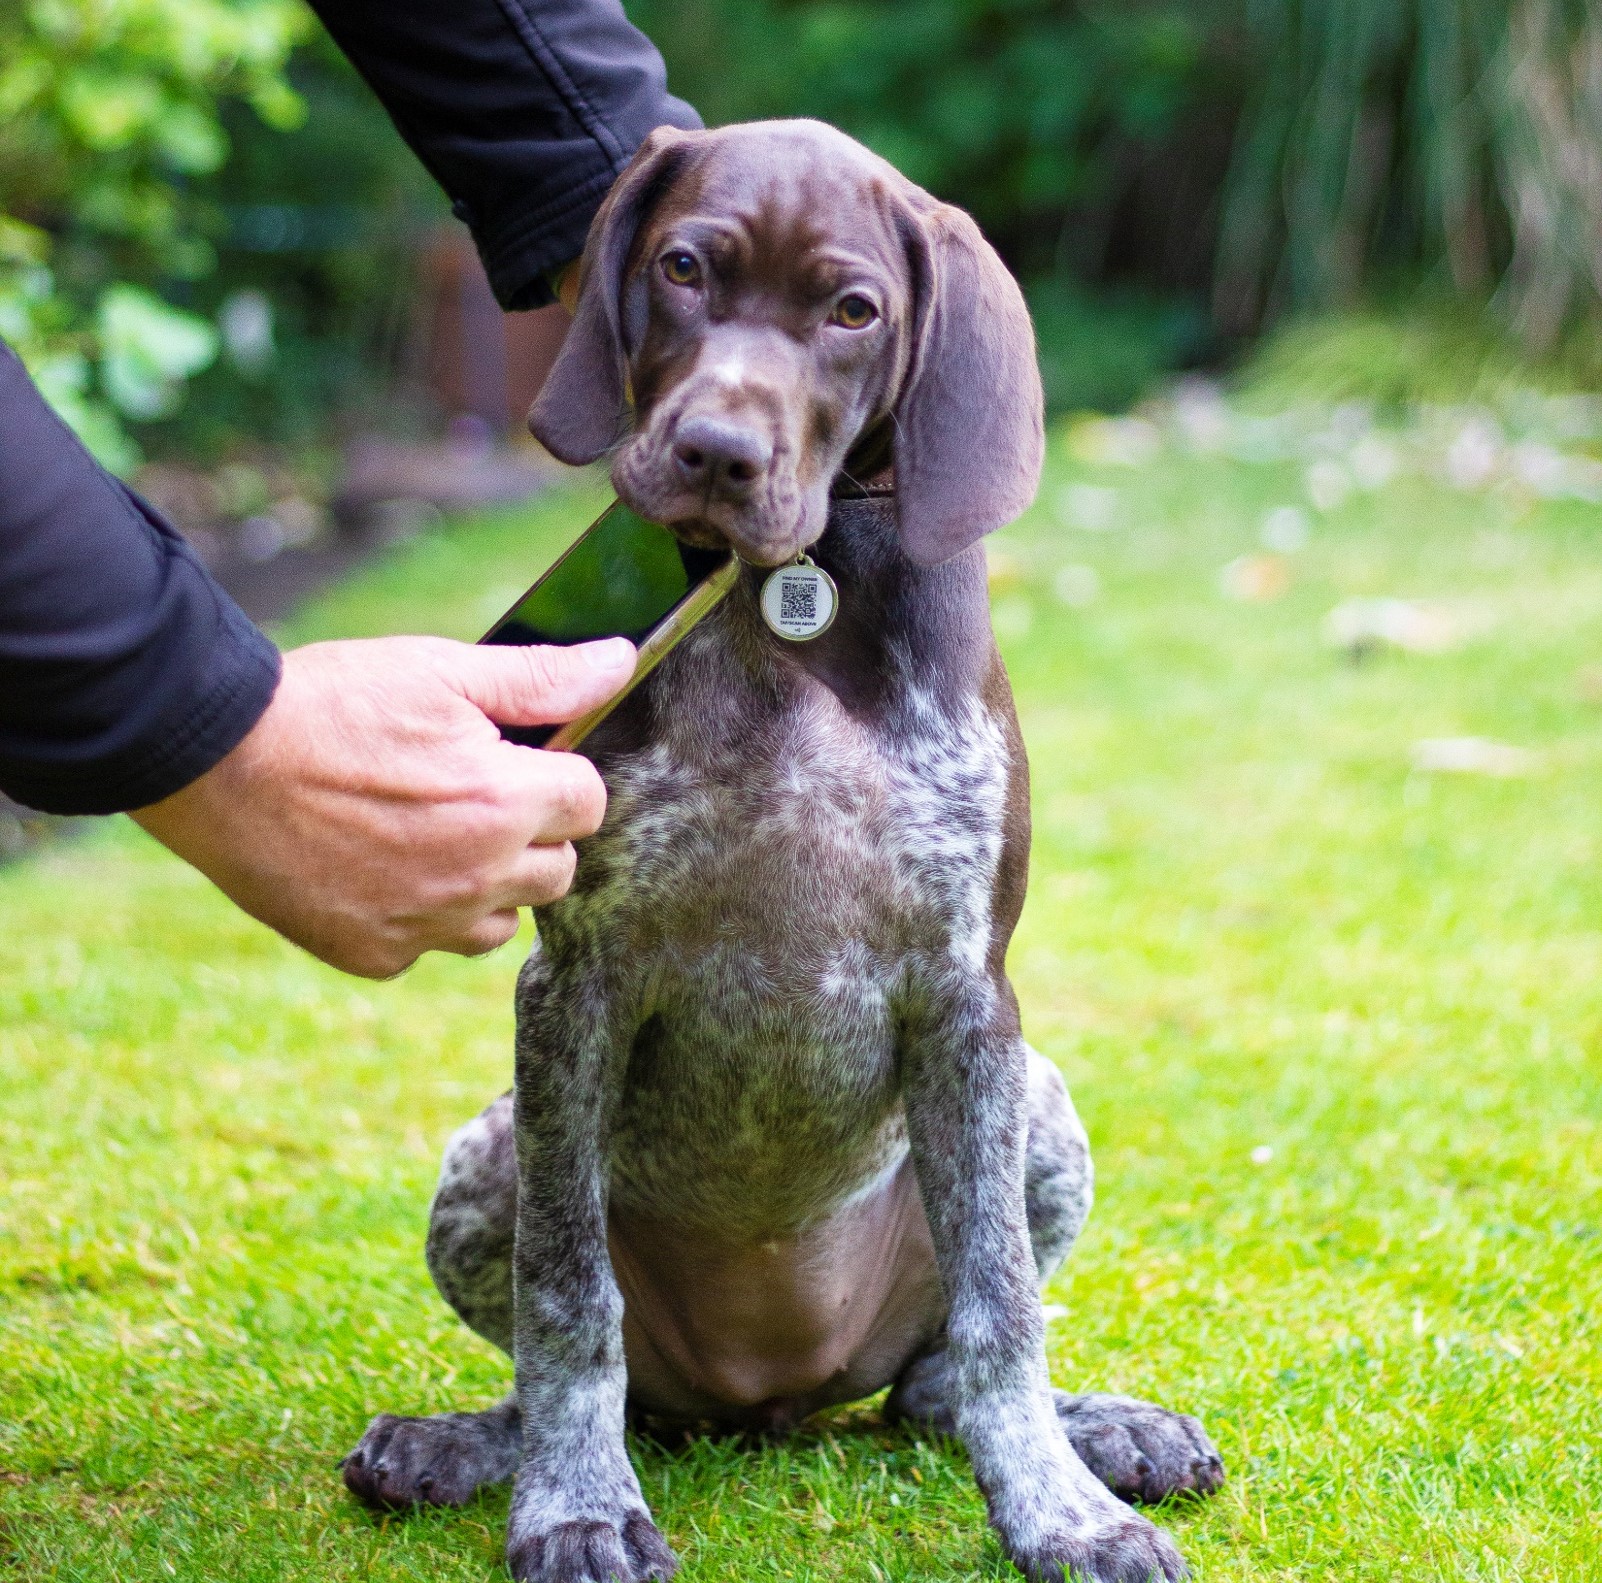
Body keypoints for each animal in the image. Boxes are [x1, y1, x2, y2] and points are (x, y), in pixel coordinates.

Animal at [342, 119, 1223, 1583]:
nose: (713, 452)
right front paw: (577, 1504)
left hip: (1033, 1099)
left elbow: (1003, 1312)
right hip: (494, 1145)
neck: (780, 603)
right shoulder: (573, 985)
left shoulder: (968, 995)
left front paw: (1061, 1507)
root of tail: (771, 1394)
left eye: (851, 311)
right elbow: (568, 1298)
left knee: (934, 1382)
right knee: (572, 1358)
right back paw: (464, 1443)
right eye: (684, 268)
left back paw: (1104, 1429)